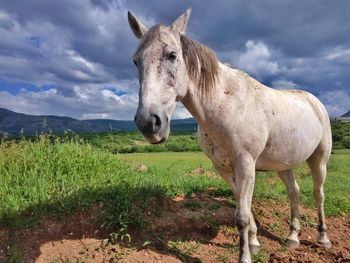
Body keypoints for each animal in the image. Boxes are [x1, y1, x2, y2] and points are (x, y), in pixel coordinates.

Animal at [127, 7, 332, 262]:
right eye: (136, 61)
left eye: (172, 56)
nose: (148, 123)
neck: (225, 103)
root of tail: (314, 101)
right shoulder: (223, 168)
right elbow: (244, 208)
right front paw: (254, 242)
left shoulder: (246, 165)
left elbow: (241, 215)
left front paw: (245, 255)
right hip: (283, 164)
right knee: (294, 193)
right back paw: (293, 237)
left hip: (319, 160)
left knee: (318, 194)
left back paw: (323, 238)